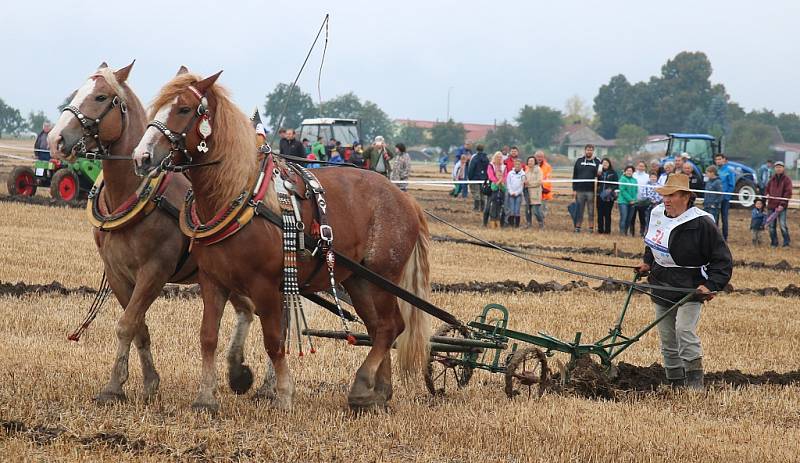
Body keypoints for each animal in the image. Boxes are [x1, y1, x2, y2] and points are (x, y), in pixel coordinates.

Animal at [47, 63, 266, 404]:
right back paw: (238, 372)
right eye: (76, 93)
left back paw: (268, 385)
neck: (132, 193)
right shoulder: (118, 273)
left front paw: (113, 387)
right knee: (248, 309)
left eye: (100, 97)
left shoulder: (155, 271)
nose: (56, 139)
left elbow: (126, 324)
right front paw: (149, 382)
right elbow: (139, 326)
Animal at [133, 70, 432, 414]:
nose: (141, 156)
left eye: (183, 109)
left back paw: (361, 387)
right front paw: (205, 398)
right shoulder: (212, 280)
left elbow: (274, 340)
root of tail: (405, 199)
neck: (238, 194)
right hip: (358, 279)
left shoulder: (265, 285)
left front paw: (284, 395)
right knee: (380, 327)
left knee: (389, 328)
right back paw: (378, 392)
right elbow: (207, 337)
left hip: (383, 277)